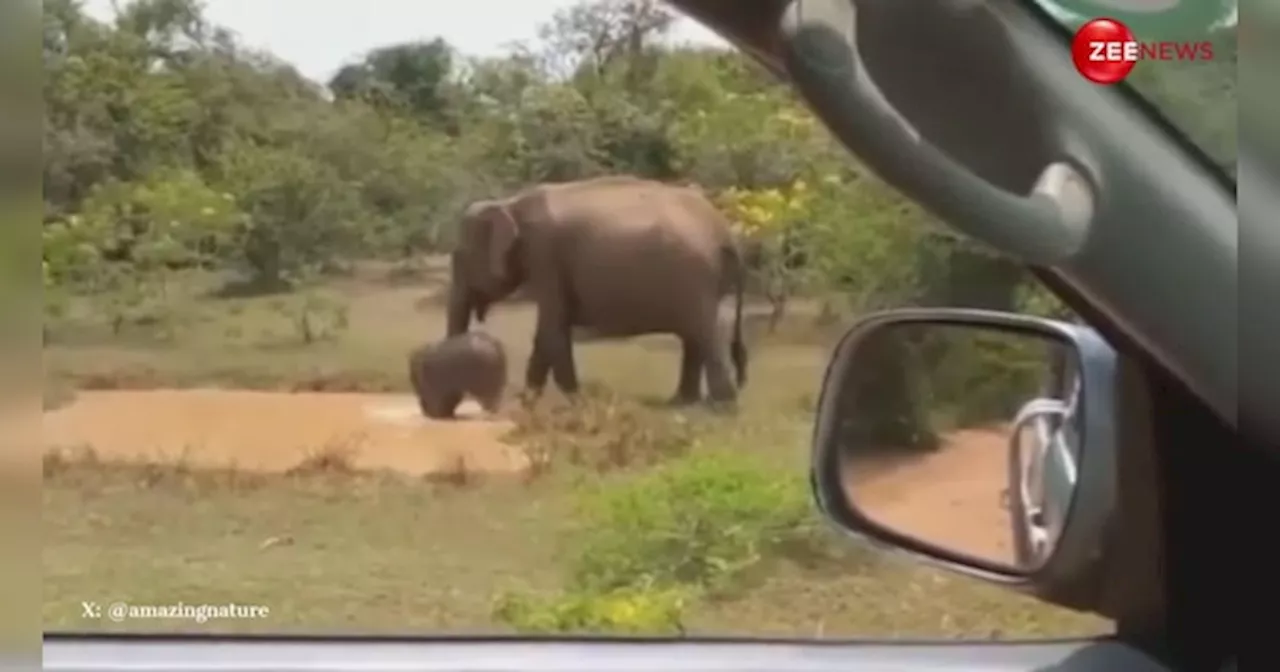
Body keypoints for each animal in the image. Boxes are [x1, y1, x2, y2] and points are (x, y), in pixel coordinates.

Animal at [448, 174, 747, 404]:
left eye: (459, 256)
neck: (510, 203)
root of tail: (723, 229)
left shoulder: (546, 257)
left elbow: (552, 331)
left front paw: (575, 402)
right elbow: (547, 334)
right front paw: (530, 403)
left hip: (696, 279)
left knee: (708, 331)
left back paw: (721, 406)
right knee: (697, 335)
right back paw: (684, 402)